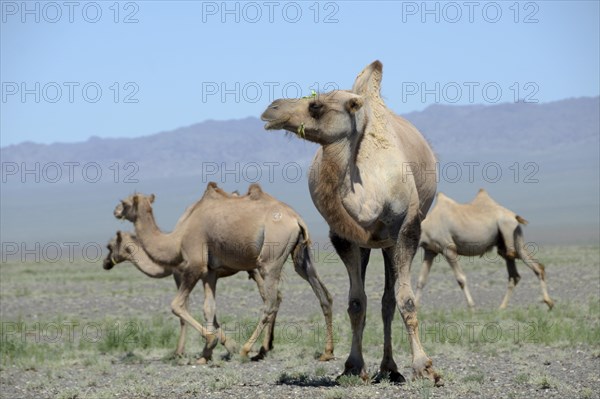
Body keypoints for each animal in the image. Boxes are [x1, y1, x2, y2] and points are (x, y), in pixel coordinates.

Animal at [115, 183, 336, 364]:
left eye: (124, 203)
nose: (115, 211)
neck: (176, 238)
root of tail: (296, 219)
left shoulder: (194, 265)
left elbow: (177, 305)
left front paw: (212, 343)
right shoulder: (210, 272)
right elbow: (209, 309)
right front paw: (206, 353)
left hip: (270, 258)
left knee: (271, 302)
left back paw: (248, 350)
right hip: (300, 255)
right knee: (323, 294)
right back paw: (326, 352)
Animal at [262, 61, 440, 386]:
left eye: (316, 105)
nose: (272, 108)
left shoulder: (407, 230)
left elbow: (407, 299)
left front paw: (425, 367)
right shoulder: (344, 238)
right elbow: (356, 302)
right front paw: (353, 366)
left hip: (389, 242)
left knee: (389, 301)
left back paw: (392, 369)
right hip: (372, 244)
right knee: (379, 301)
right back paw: (386, 367)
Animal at [418, 189, 552, 310]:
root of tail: (515, 216)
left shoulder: (448, 248)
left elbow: (461, 278)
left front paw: (472, 307)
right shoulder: (430, 251)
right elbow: (421, 281)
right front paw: (414, 308)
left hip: (508, 230)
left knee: (516, 258)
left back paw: (547, 302)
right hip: (509, 240)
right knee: (520, 272)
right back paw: (505, 307)